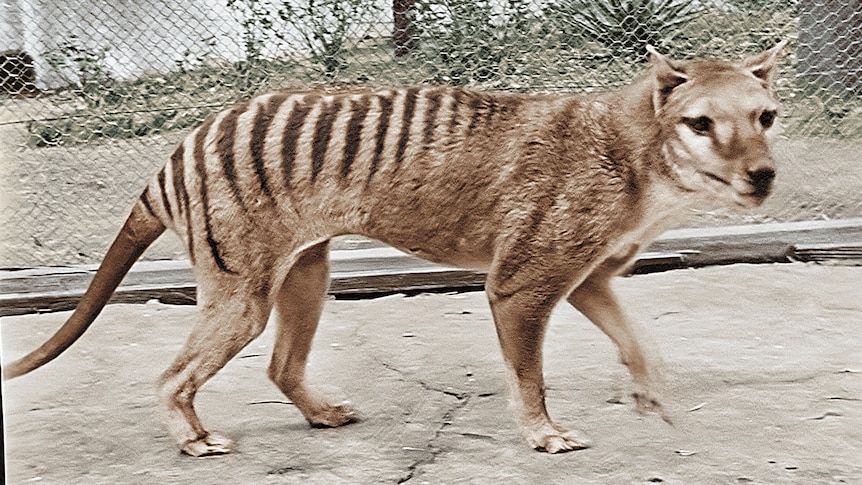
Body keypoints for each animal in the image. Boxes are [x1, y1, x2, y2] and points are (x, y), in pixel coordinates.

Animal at [3, 41, 788, 454]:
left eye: (766, 116)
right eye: (699, 123)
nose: (763, 175)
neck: (629, 148)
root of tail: (178, 151)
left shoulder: (588, 275)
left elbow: (639, 340)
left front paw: (651, 391)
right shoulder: (522, 282)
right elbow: (530, 375)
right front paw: (542, 433)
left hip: (305, 274)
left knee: (281, 366)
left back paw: (317, 413)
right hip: (243, 295)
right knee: (174, 377)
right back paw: (192, 437)